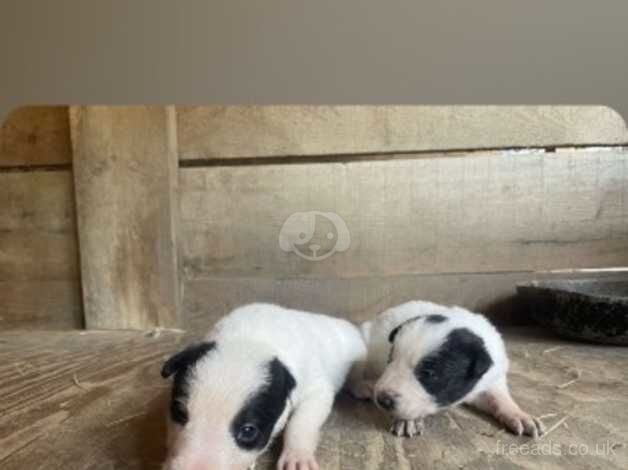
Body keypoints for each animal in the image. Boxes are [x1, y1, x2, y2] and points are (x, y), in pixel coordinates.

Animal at [162, 302, 368, 470]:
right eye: (179, 413)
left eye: (248, 431)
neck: (249, 339)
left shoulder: (316, 389)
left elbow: (301, 422)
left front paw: (297, 456)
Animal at [348, 302, 544, 438]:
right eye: (390, 359)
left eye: (429, 374)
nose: (382, 399)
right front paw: (407, 421)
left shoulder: (492, 379)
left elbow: (500, 397)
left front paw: (519, 415)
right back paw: (363, 386)